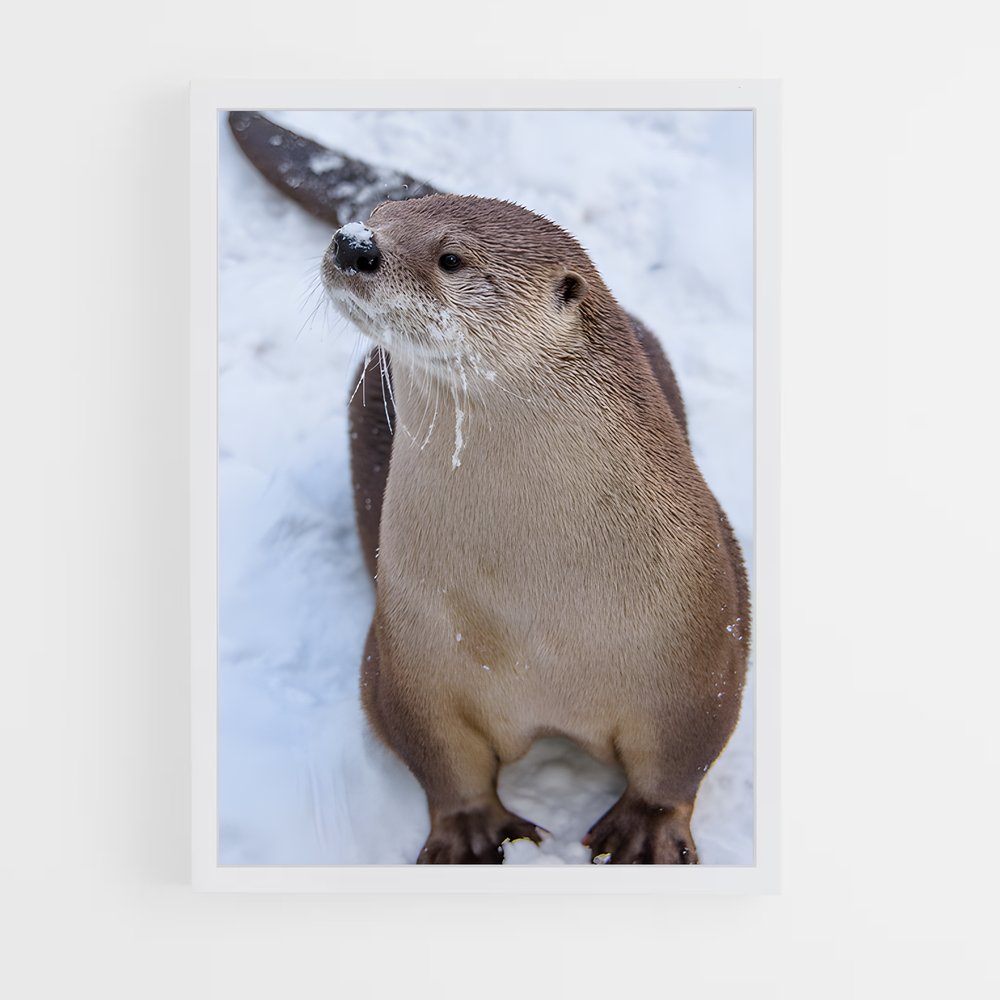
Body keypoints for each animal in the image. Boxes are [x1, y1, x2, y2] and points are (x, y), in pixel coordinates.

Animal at [321, 194, 749, 865]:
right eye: (379, 212)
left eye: (451, 258)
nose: (353, 242)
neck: (532, 618)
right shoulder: (407, 659)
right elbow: (440, 758)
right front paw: (470, 834)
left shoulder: (703, 650)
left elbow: (682, 759)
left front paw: (647, 834)